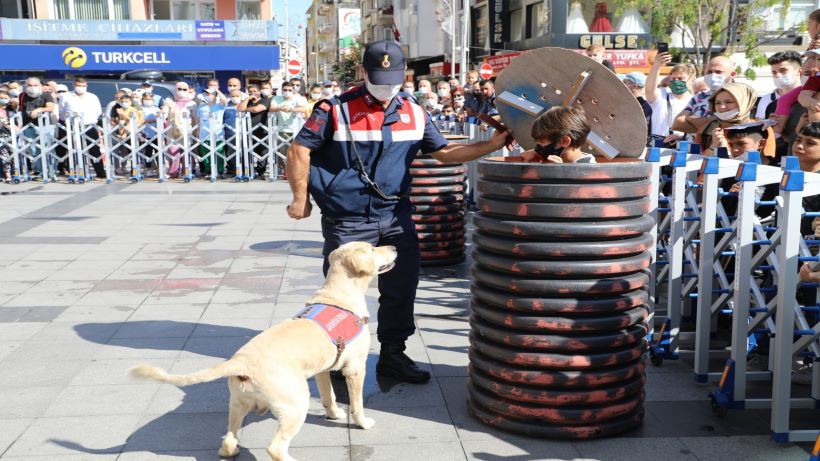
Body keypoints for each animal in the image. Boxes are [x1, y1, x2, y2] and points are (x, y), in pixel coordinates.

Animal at [130, 241, 396, 460]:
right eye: (372, 248)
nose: (394, 247)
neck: (338, 295)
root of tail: (242, 361)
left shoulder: (323, 369)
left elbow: (328, 395)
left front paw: (334, 413)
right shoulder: (355, 368)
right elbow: (357, 404)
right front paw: (363, 422)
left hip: (237, 404)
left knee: (228, 440)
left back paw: (231, 449)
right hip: (295, 404)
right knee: (275, 448)